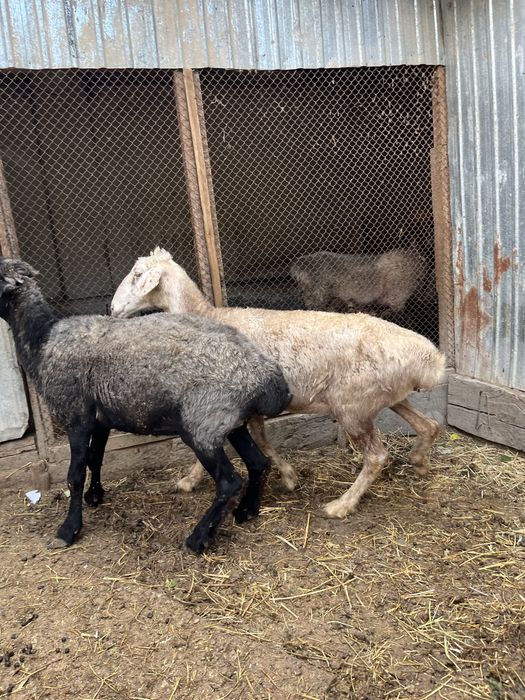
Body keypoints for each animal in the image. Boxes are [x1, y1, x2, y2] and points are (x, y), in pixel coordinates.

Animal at [0, 257, 291, 553]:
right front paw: (95, 495)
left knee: (229, 482)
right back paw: (246, 512)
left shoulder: (77, 415)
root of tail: (269, 379)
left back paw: (198, 539)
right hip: (228, 421)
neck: (43, 338)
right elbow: (95, 458)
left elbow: (75, 473)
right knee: (258, 463)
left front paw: (68, 530)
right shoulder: (101, 418)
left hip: (202, 424)